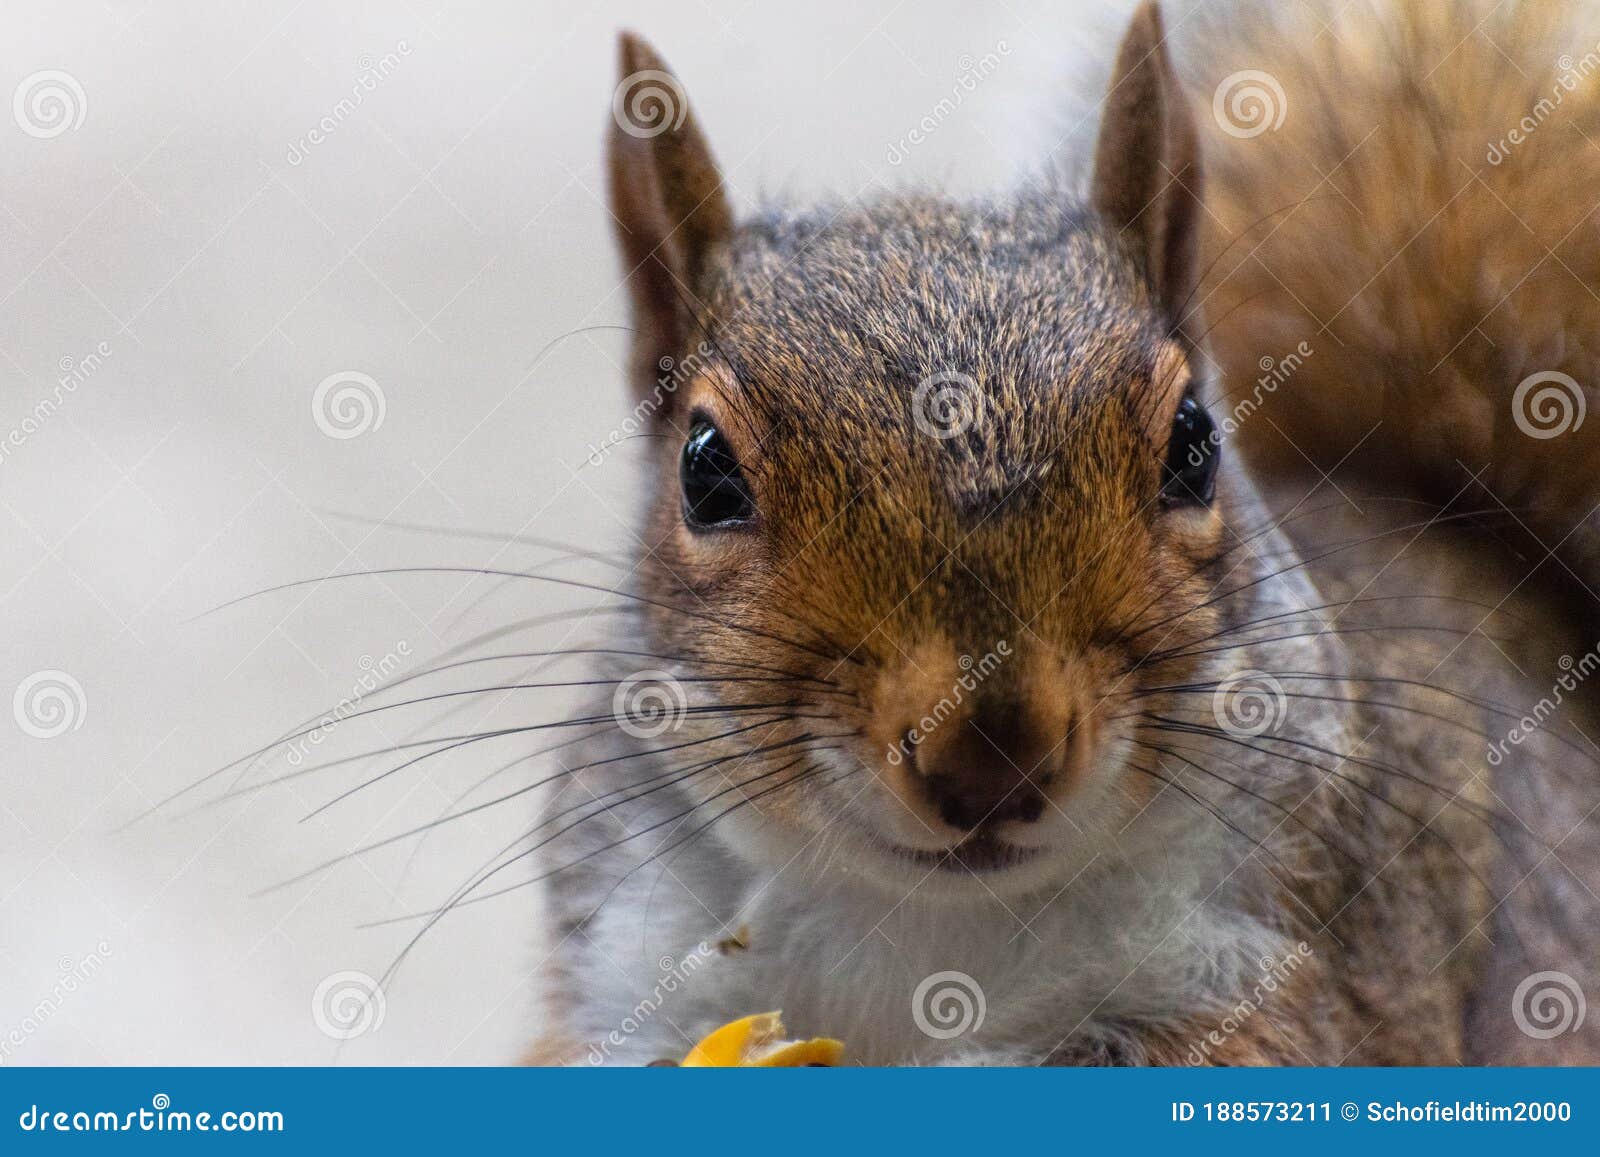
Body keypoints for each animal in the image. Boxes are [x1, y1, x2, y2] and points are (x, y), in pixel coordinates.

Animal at [527, 0, 1600, 1064]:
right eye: (704, 473)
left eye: (1194, 445)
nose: (990, 759)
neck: (923, 924)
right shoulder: (627, 948)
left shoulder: (1303, 954)